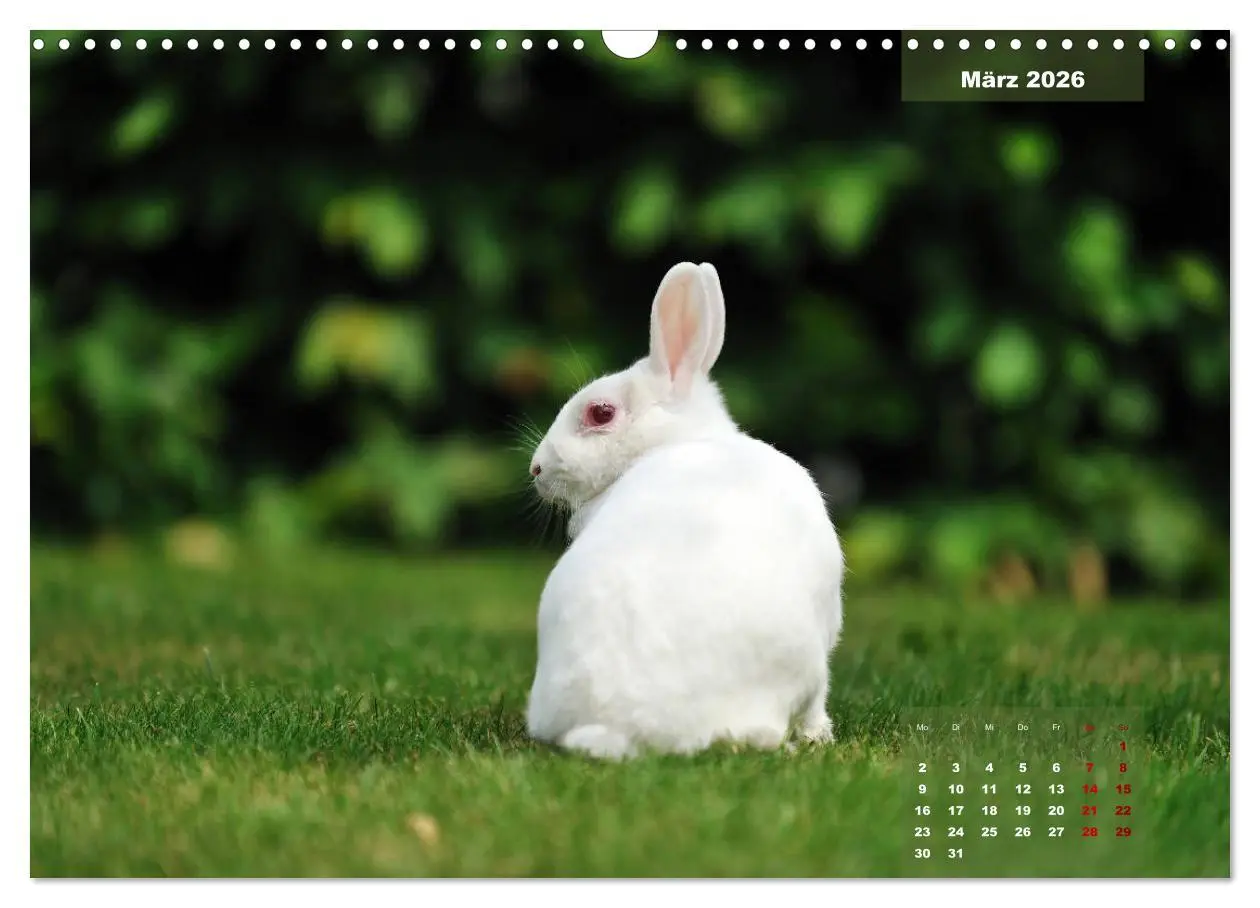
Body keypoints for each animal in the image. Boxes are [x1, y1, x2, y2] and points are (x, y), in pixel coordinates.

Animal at [525, 261, 845, 760]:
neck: (676, 441)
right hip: (805, 664)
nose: (536, 468)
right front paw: (821, 736)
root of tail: (614, 725)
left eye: (600, 413)